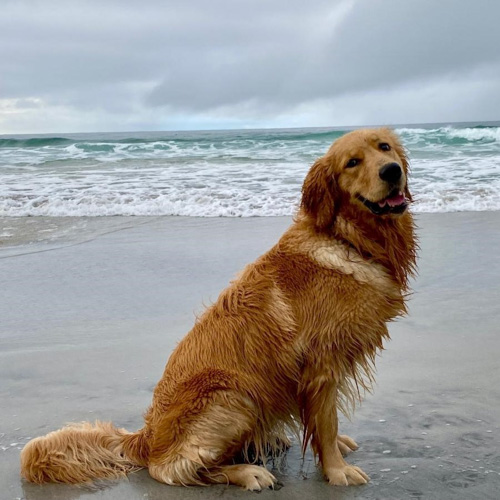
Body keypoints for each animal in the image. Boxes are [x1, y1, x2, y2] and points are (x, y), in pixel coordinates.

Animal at [19, 127, 416, 490]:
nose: (392, 171)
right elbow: (326, 422)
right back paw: (248, 471)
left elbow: (325, 424)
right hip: (234, 397)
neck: (345, 237)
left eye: (384, 147)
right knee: (173, 470)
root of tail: (145, 438)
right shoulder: (321, 364)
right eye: (352, 162)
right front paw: (336, 471)